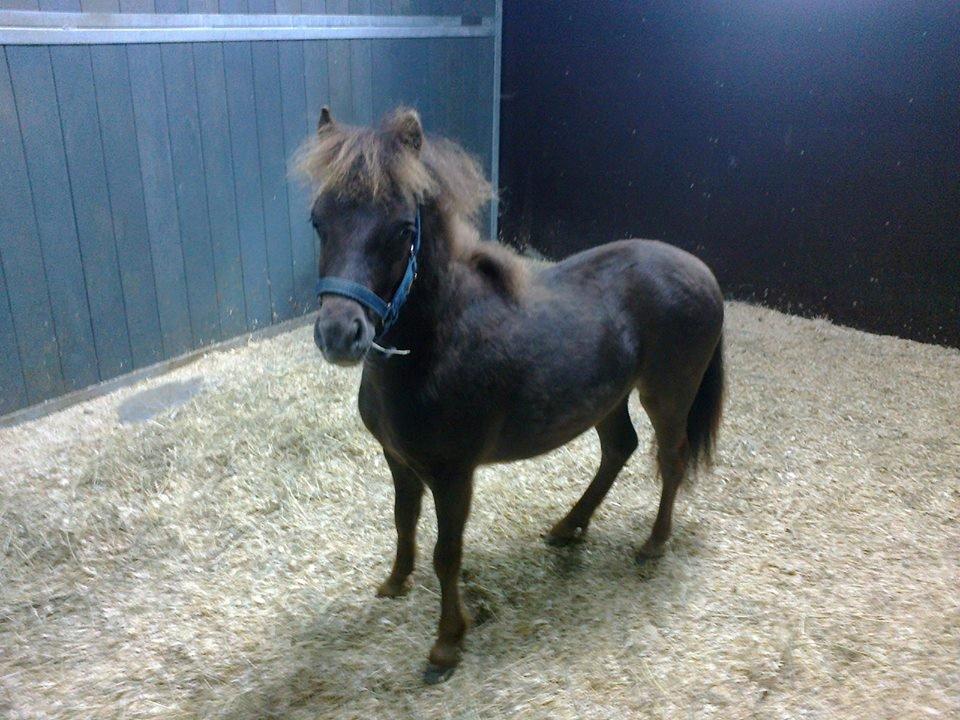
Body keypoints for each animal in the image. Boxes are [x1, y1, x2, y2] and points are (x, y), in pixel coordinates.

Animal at [296, 105, 724, 680]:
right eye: (319, 221)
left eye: (403, 229)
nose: (341, 334)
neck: (437, 341)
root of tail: (702, 271)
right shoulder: (398, 459)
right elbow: (403, 521)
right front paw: (395, 582)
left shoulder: (453, 475)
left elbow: (447, 553)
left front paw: (446, 645)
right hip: (607, 398)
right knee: (620, 448)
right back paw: (568, 527)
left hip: (668, 395)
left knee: (670, 459)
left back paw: (653, 544)